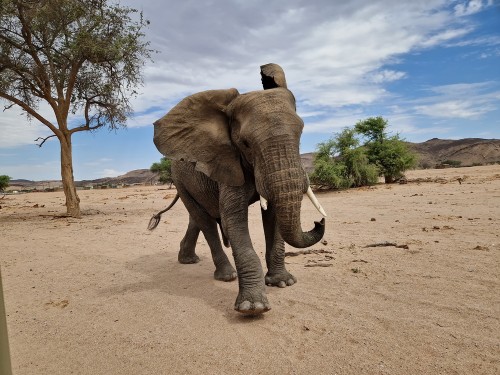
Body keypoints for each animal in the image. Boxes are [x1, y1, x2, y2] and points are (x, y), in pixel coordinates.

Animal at [148, 64, 328, 314]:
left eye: (300, 134)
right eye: (245, 144)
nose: (319, 222)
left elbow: (274, 215)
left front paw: (283, 282)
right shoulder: (228, 162)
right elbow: (233, 218)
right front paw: (253, 307)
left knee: (198, 217)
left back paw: (188, 260)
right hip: (180, 180)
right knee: (204, 220)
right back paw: (226, 275)